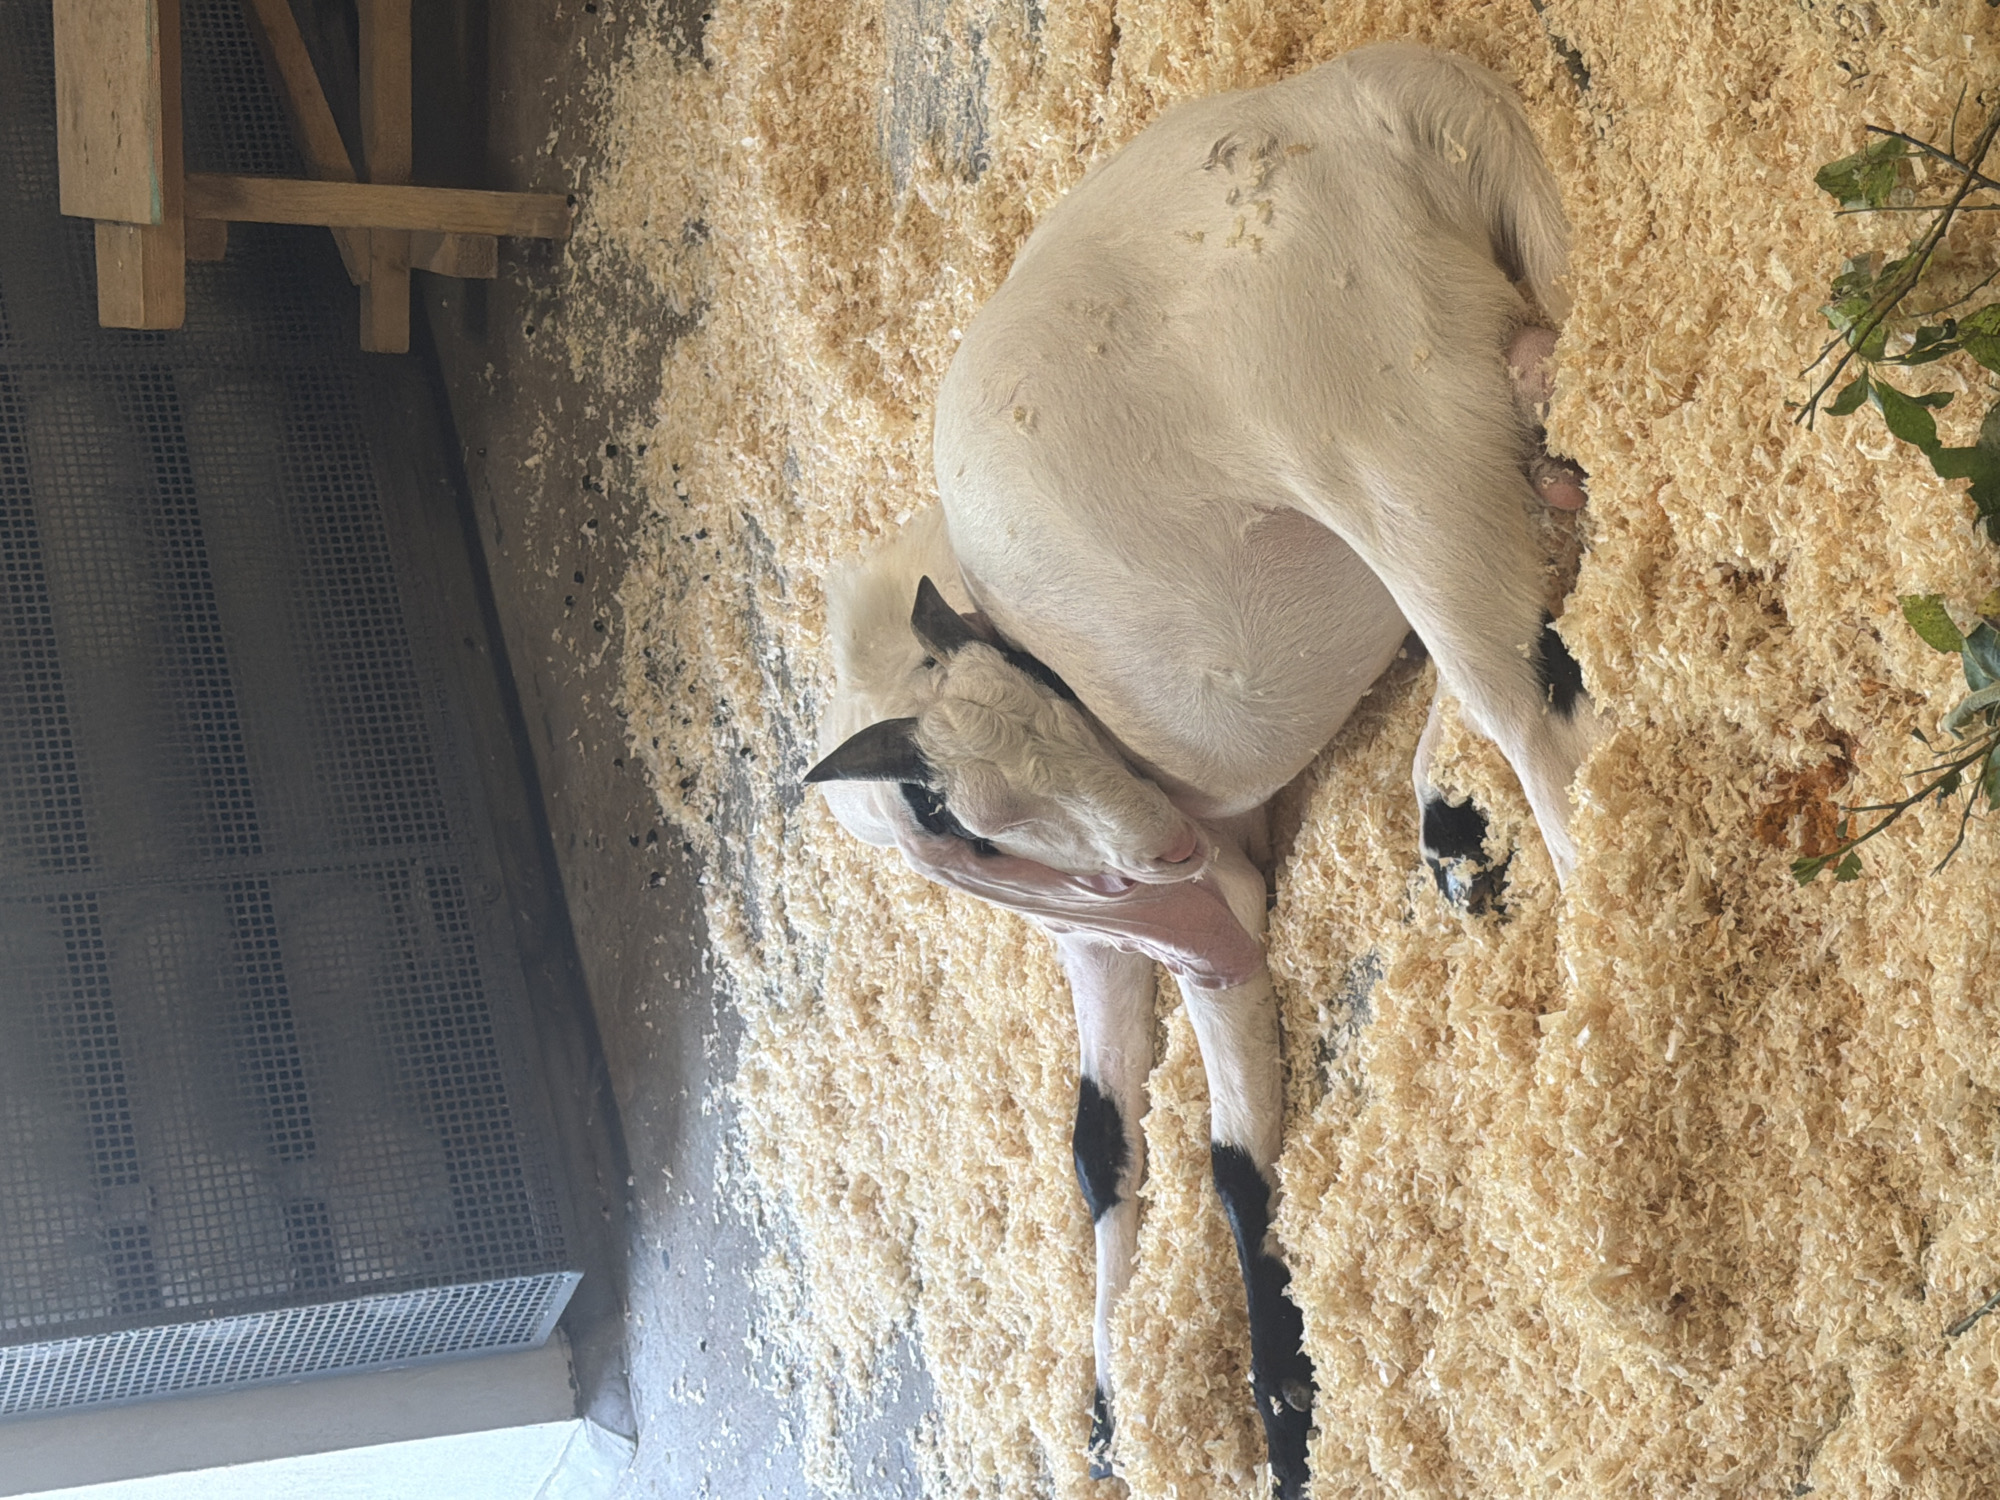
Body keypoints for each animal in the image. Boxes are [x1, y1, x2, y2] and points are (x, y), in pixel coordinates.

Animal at [805, 43, 1595, 1498]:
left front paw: (1281, 1413)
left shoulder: (1210, 919)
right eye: (972, 829)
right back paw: (1460, 832)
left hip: (1398, 455)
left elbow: (1229, 1162)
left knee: (1535, 716)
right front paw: (1106, 1409)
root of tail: (1381, 102)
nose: (1162, 851)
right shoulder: (1100, 935)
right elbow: (1094, 1142)